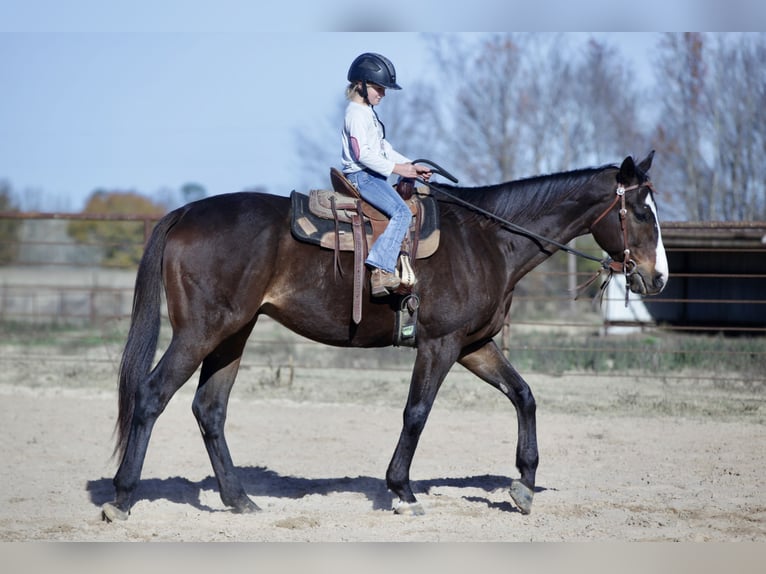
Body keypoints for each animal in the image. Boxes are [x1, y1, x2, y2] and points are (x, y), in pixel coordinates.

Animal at [101, 151, 668, 521]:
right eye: (641, 212)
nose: (657, 277)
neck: (487, 239)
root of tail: (184, 213)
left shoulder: (474, 346)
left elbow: (524, 396)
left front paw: (523, 486)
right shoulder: (440, 344)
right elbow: (416, 413)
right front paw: (402, 491)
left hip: (232, 334)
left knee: (209, 410)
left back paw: (239, 500)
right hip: (201, 332)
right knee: (151, 396)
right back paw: (122, 498)